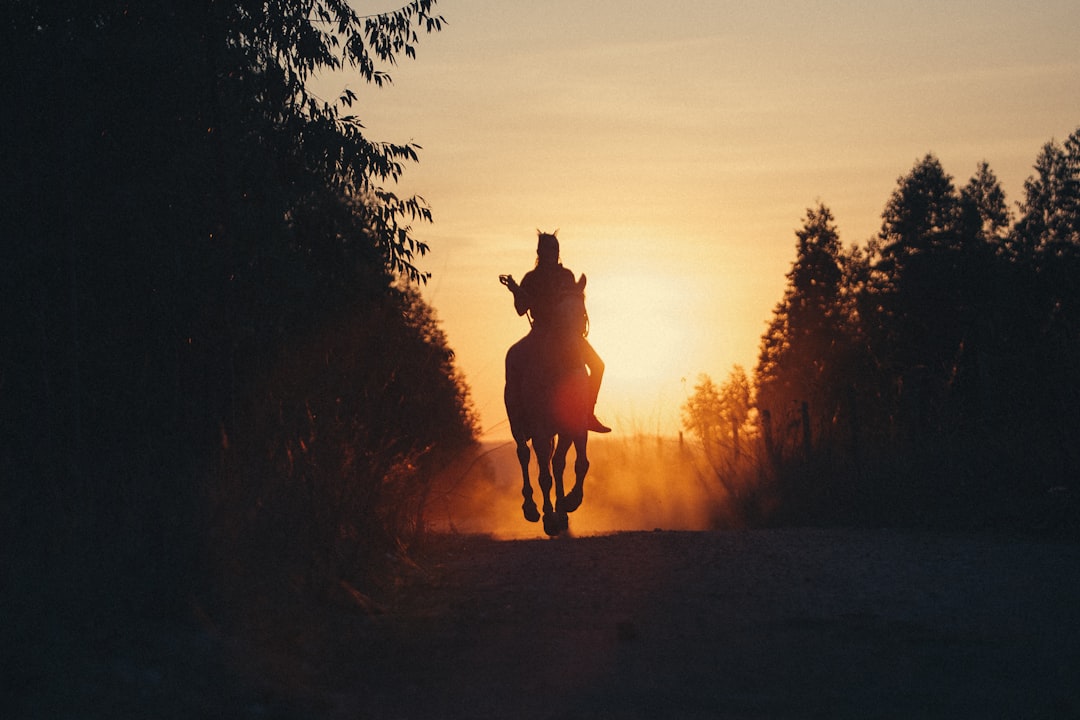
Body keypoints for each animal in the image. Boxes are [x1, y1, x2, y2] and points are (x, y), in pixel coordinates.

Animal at [503, 278, 591, 537]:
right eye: (558, 313)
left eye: (582, 312)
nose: (574, 350)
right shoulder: (540, 430)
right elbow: (545, 475)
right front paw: (550, 518)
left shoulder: (570, 427)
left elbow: (568, 464)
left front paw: (567, 506)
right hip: (517, 423)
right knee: (524, 454)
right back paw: (531, 508)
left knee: (552, 463)